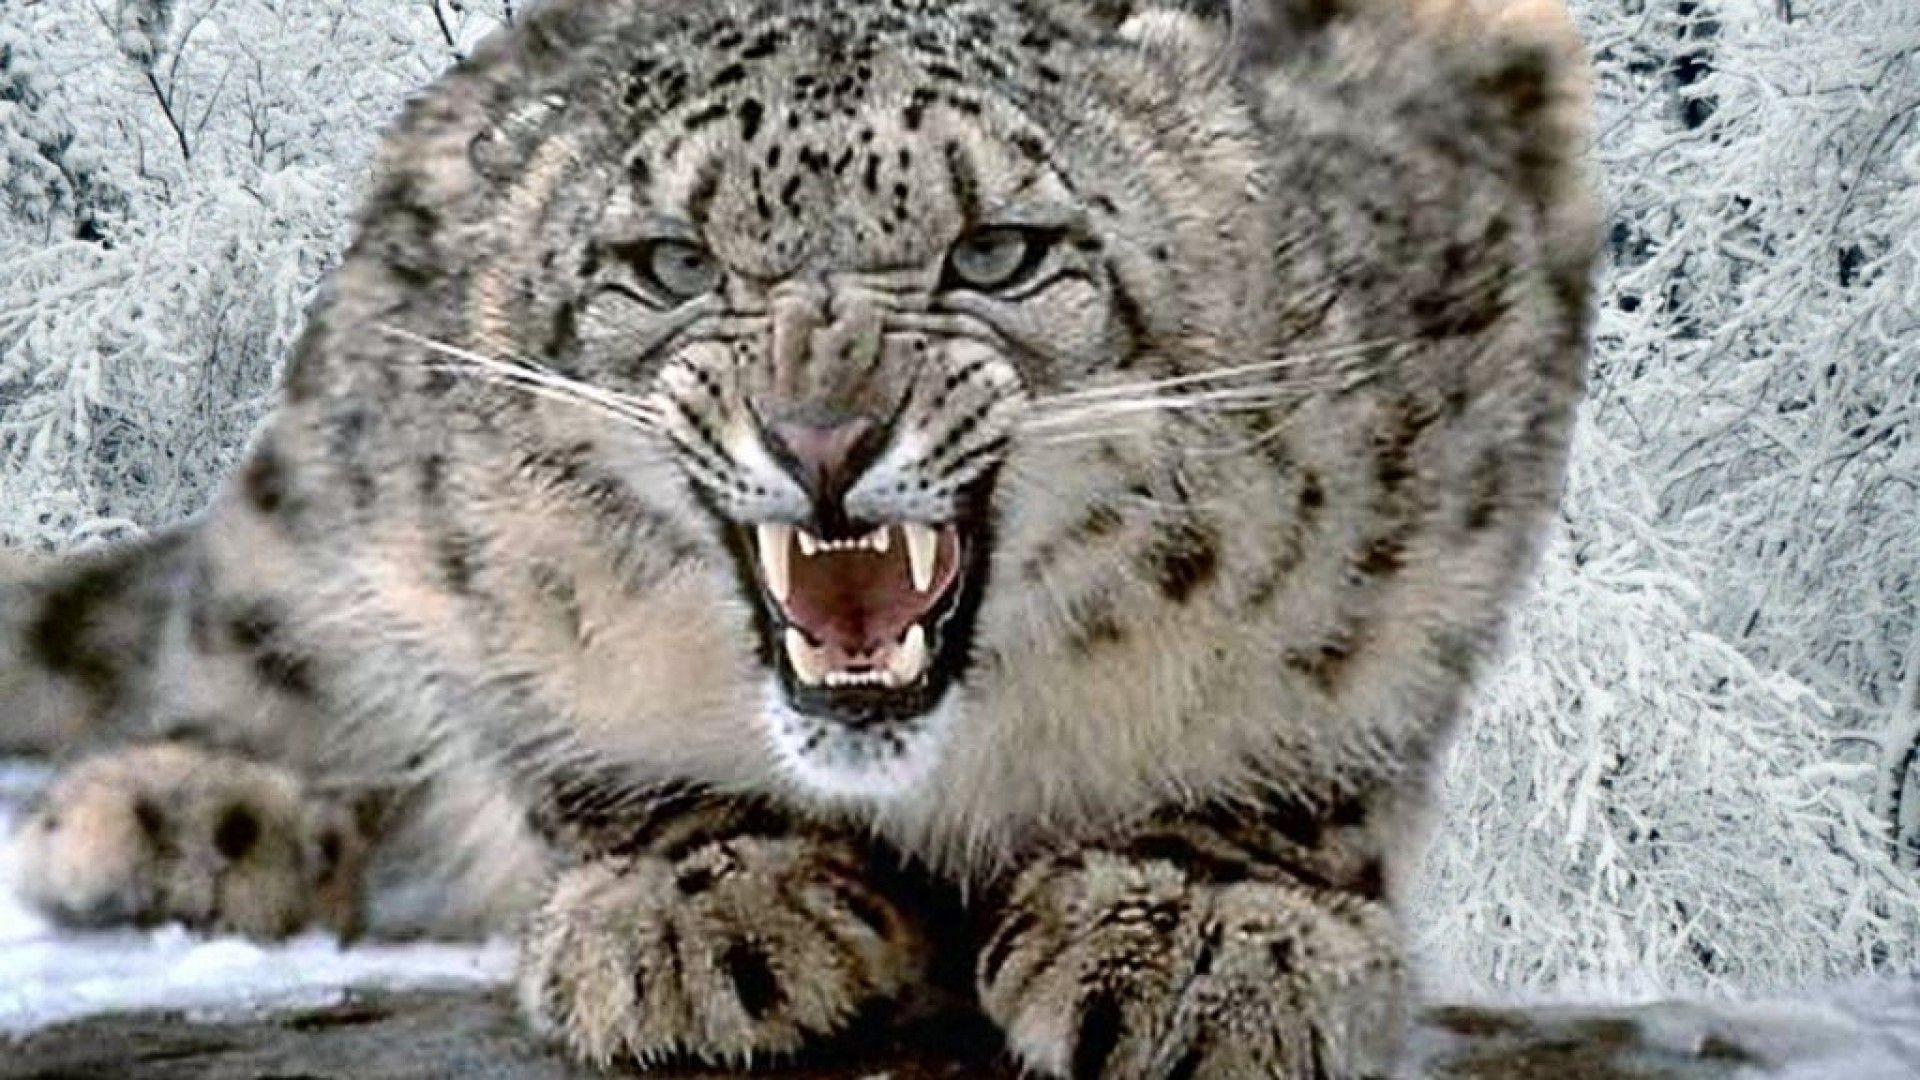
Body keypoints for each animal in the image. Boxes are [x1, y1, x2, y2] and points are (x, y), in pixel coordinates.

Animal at [0, 0, 1598, 1074]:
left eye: (998, 251)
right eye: (673, 265)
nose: (823, 439)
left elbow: (1353, 674)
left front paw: (1201, 919)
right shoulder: (439, 504)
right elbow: (533, 705)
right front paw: (703, 905)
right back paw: (184, 812)